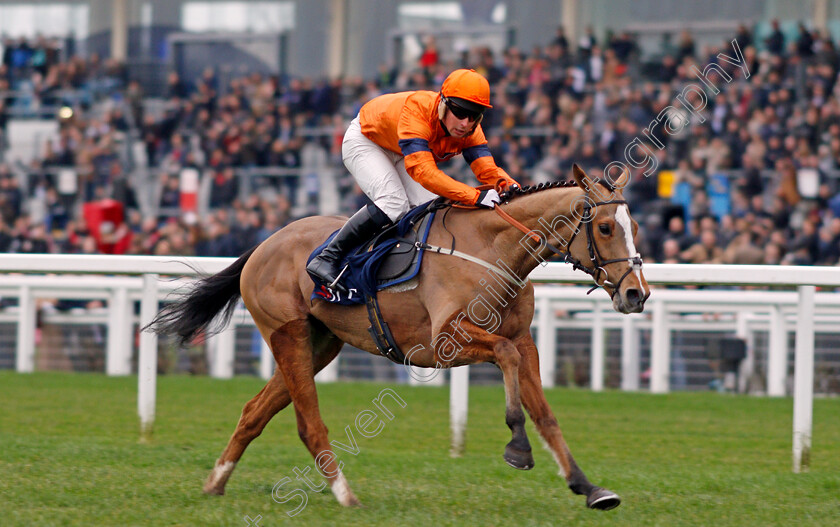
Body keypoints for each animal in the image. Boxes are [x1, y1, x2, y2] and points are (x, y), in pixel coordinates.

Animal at [148, 165, 648, 512]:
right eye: (605, 227)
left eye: (636, 227)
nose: (636, 293)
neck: (494, 250)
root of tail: (264, 243)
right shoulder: (446, 341)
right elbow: (505, 359)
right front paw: (517, 446)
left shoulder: (525, 340)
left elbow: (545, 413)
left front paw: (588, 487)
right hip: (287, 334)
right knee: (309, 424)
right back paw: (345, 495)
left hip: (320, 343)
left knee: (254, 412)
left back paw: (216, 482)